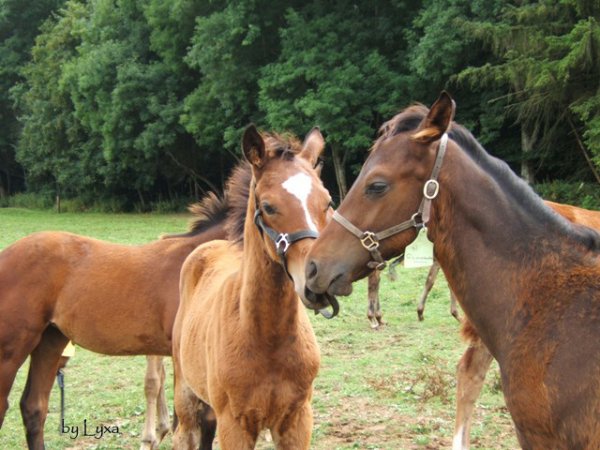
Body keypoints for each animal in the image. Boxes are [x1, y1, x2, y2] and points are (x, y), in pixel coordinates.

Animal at [171, 124, 336, 450]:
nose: (318, 278)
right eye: (269, 207)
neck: (268, 338)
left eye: (327, 202)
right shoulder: (235, 425)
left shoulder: (297, 420)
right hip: (186, 394)